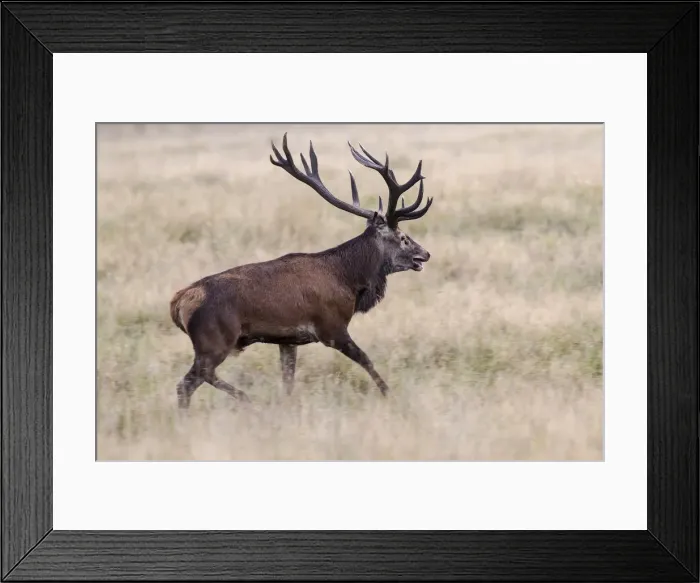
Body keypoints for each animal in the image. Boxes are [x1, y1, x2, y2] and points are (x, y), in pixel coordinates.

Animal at [169, 133, 434, 408]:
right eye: (403, 238)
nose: (425, 254)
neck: (349, 280)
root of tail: (177, 303)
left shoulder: (288, 340)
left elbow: (288, 381)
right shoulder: (331, 327)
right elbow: (366, 360)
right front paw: (390, 395)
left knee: (195, 380)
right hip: (214, 339)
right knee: (190, 381)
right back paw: (244, 398)